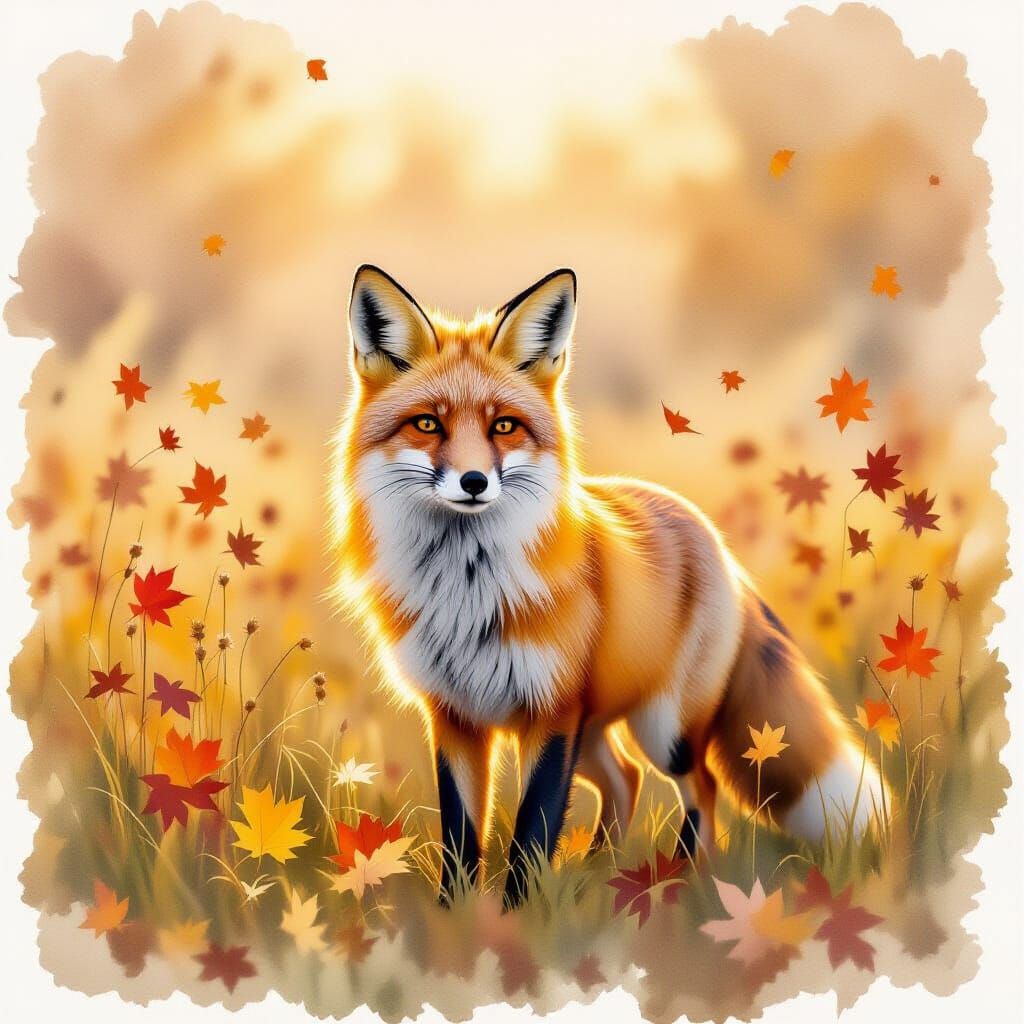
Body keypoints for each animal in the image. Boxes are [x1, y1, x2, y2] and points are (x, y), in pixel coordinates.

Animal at [329, 264, 884, 908]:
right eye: (427, 424)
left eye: (503, 426)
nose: (473, 481)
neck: (467, 590)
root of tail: (715, 540)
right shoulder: (455, 717)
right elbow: (462, 839)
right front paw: (455, 919)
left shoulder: (551, 714)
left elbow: (533, 831)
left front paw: (520, 917)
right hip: (594, 733)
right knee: (626, 779)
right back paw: (601, 879)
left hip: (663, 728)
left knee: (703, 786)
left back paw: (676, 882)